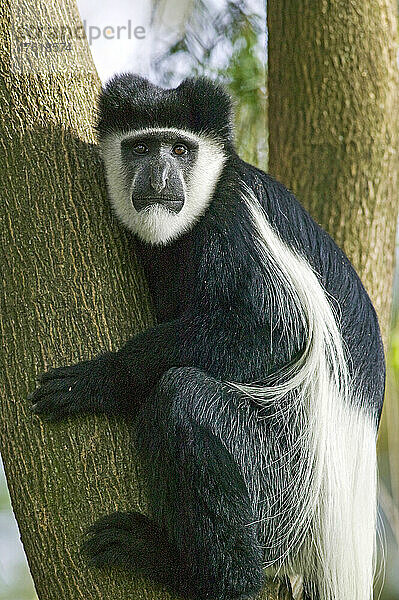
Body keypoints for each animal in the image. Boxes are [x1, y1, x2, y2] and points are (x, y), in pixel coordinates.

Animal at [29, 75, 386, 600]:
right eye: (141, 147)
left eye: (180, 148)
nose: (159, 176)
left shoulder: (234, 224)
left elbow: (273, 332)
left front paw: (101, 379)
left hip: (281, 482)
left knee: (183, 401)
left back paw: (191, 569)